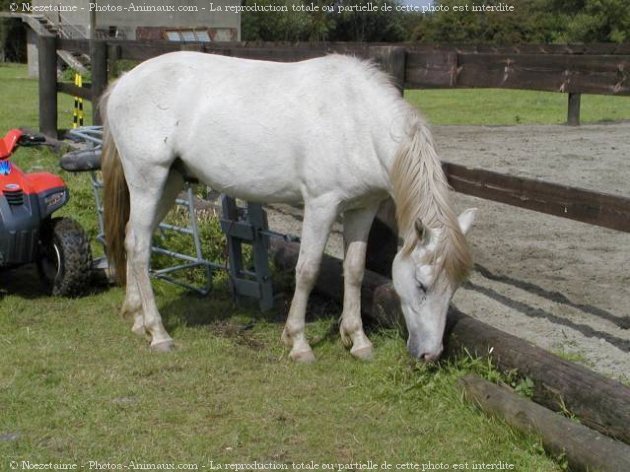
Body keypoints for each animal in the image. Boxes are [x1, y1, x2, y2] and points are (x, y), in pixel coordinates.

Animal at [101, 51, 476, 362]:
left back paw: (136, 317)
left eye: (454, 288)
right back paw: (158, 332)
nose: (430, 354)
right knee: (139, 247)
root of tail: (125, 80)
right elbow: (307, 270)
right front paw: (298, 342)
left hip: (170, 182)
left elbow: (355, 271)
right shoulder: (322, 205)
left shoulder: (362, 209)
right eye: (422, 285)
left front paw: (357, 340)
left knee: (134, 237)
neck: (356, 119)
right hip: (148, 179)